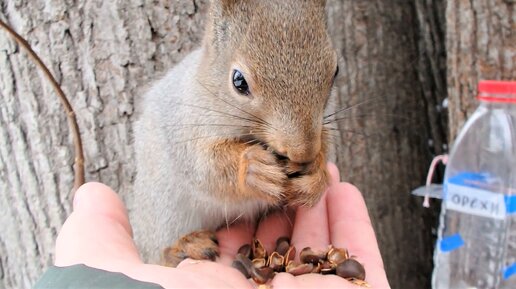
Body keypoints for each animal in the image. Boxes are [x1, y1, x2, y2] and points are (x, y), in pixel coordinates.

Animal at [128, 0, 338, 266]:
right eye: (239, 81)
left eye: (336, 71)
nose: (302, 153)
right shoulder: (184, 124)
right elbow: (204, 166)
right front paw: (252, 168)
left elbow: (326, 143)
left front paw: (315, 176)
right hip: (161, 209)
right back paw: (183, 247)